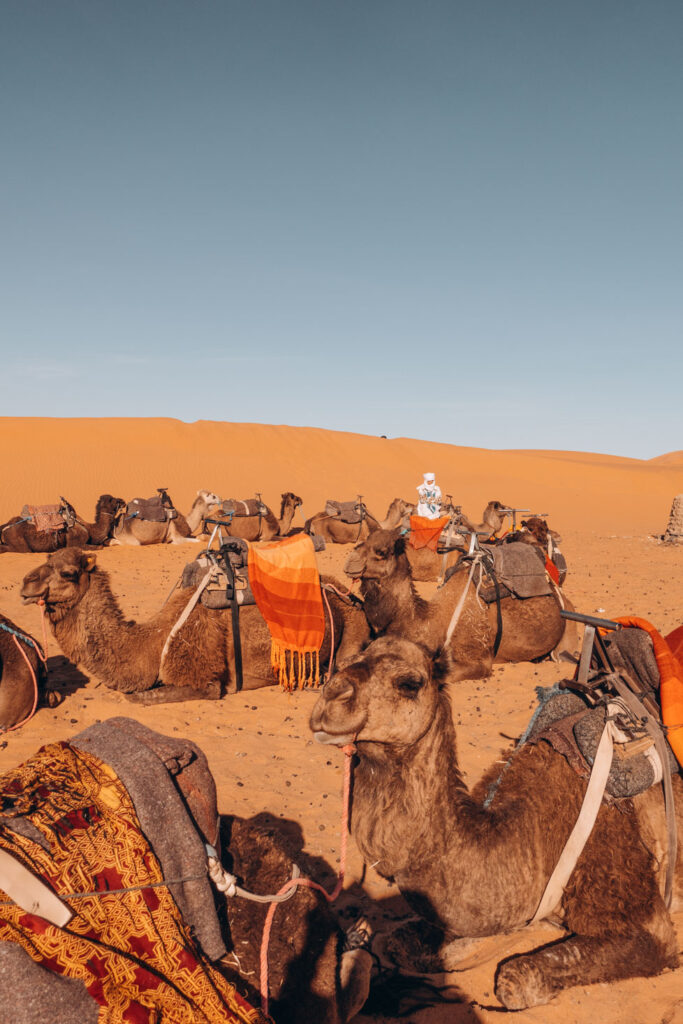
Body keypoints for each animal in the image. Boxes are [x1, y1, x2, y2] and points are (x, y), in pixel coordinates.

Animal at [21, 544, 370, 704]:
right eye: (47, 559)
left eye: (68, 572)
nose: (26, 583)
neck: (153, 642)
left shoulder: (203, 678)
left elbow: (138, 696)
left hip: (353, 628)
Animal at [311, 634, 683, 1011]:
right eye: (342, 664)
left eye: (409, 683)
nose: (331, 698)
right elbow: (398, 940)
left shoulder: (632, 899)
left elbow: (515, 978)